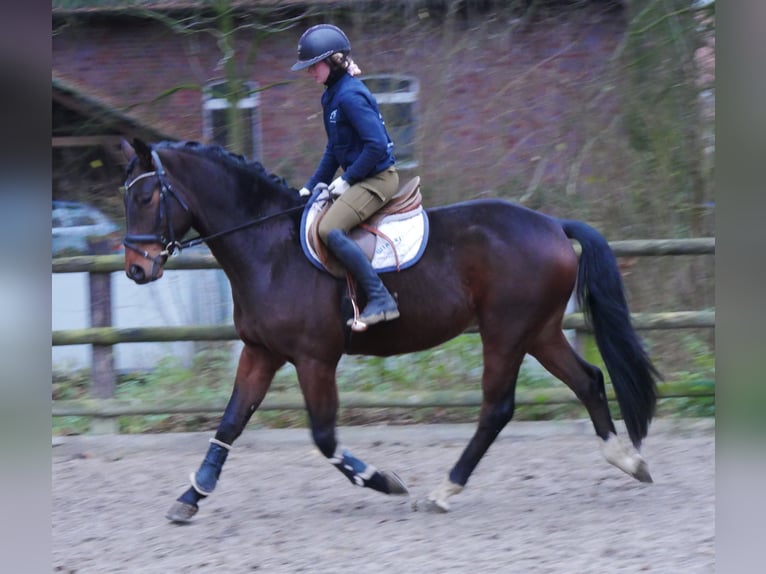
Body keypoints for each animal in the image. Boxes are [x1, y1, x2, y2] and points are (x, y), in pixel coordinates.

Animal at [120, 138, 660, 520]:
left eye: (147, 196)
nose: (136, 271)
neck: (268, 248)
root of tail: (552, 224)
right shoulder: (260, 352)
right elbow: (231, 422)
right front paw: (192, 495)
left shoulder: (314, 359)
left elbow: (323, 435)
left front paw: (384, 480)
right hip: (539, 332)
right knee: (588, 380)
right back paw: (628, 461)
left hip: (505, 333)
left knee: (498, 408)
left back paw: (443, 491)